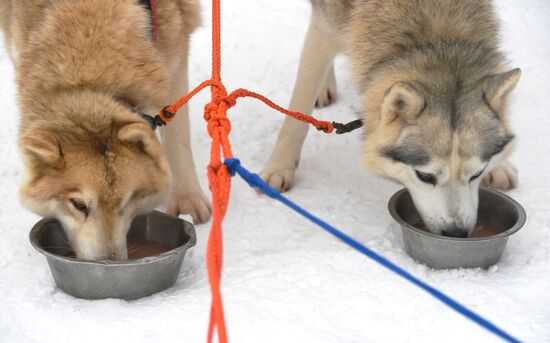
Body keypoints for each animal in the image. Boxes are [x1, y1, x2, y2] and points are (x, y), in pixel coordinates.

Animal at [0, 0, 211, 260]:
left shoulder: (175, 48)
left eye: (127, 202)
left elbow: (177, 137)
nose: (109, 262)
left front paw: (187, 200)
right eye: (79, 205)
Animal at [262, 0, 520, 238]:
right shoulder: (323, 29)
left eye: (476, 174)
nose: (456, 233)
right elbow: (297, 112)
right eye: (425, 176)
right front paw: (279, 167)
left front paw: (500, 167)